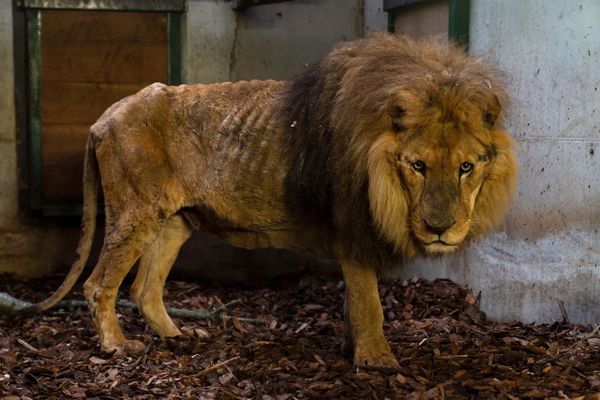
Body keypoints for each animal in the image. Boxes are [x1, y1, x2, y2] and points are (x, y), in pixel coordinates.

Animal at [25, 32, 516, 370]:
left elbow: (352, 303)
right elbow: (369, 302)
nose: (439, 229)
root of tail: (103, 116)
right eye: (417, 166)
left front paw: (349, 349)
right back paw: (117, 346)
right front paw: (376, 361)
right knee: (99, 284)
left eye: (466, 167)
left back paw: (178, 336)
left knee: (145, 288)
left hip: (174, 221)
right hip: (135, 212)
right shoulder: (352, 228)